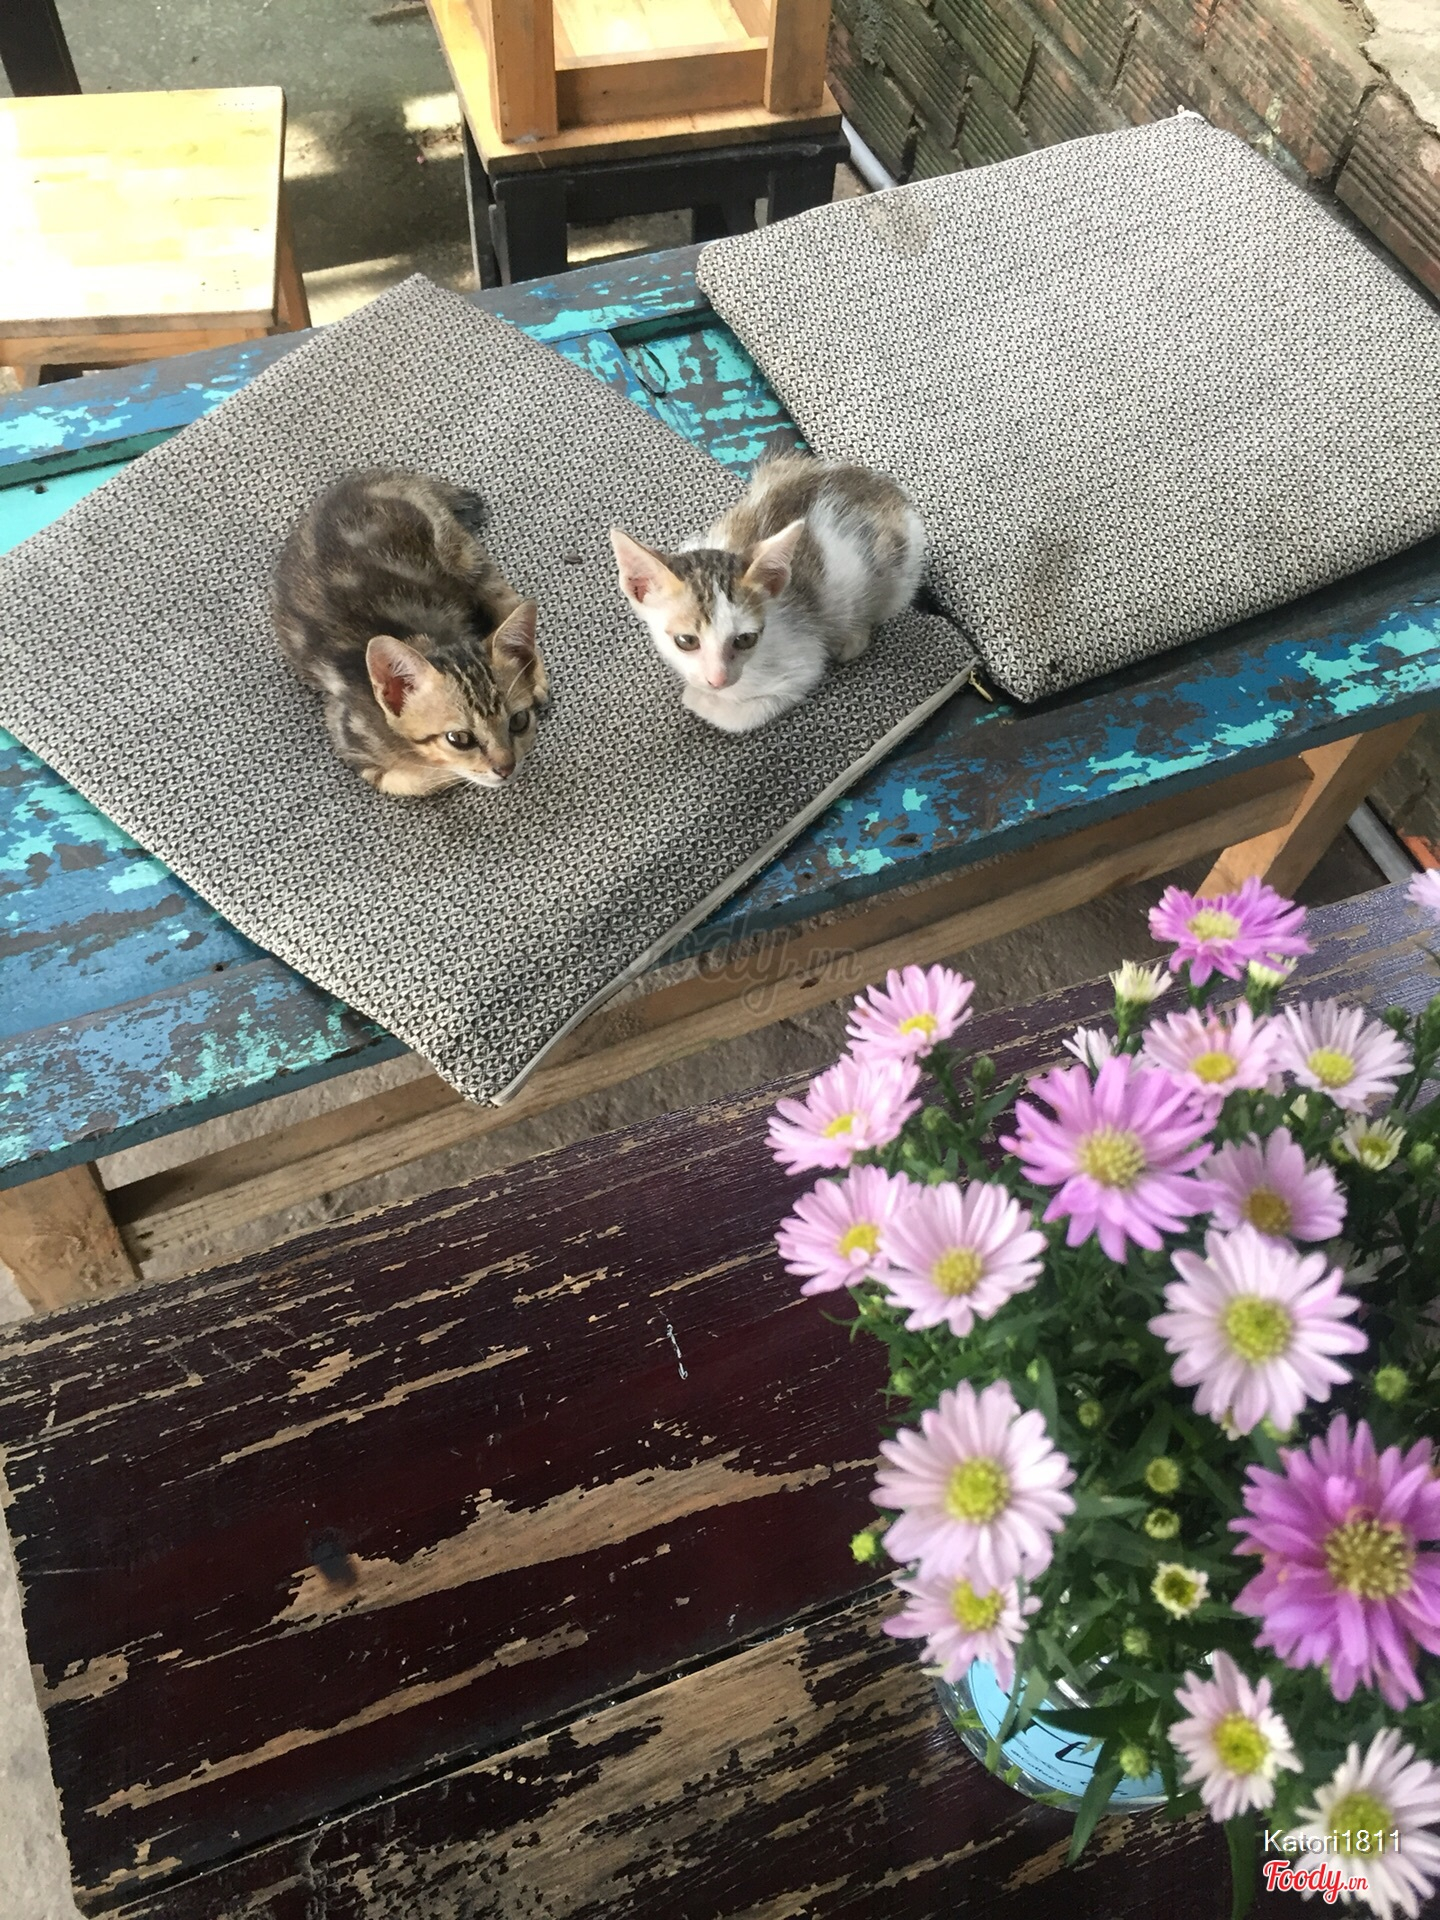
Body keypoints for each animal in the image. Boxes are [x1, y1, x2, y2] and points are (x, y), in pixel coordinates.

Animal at [272, 467, 547, 796]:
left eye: (519, 721)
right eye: (460, 739)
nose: (506, 767)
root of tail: (376, 478)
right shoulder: (349, 736)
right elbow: (415, 780)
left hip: (460, 552)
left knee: (505, 597)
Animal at [609, 453, 925, 733]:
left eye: (745, 639)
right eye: (686, 641)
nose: (717, 679)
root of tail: (887, 488)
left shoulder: (802, 666)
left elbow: (742, 715)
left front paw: (698, 699)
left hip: (901, 575)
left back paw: (852, 638)